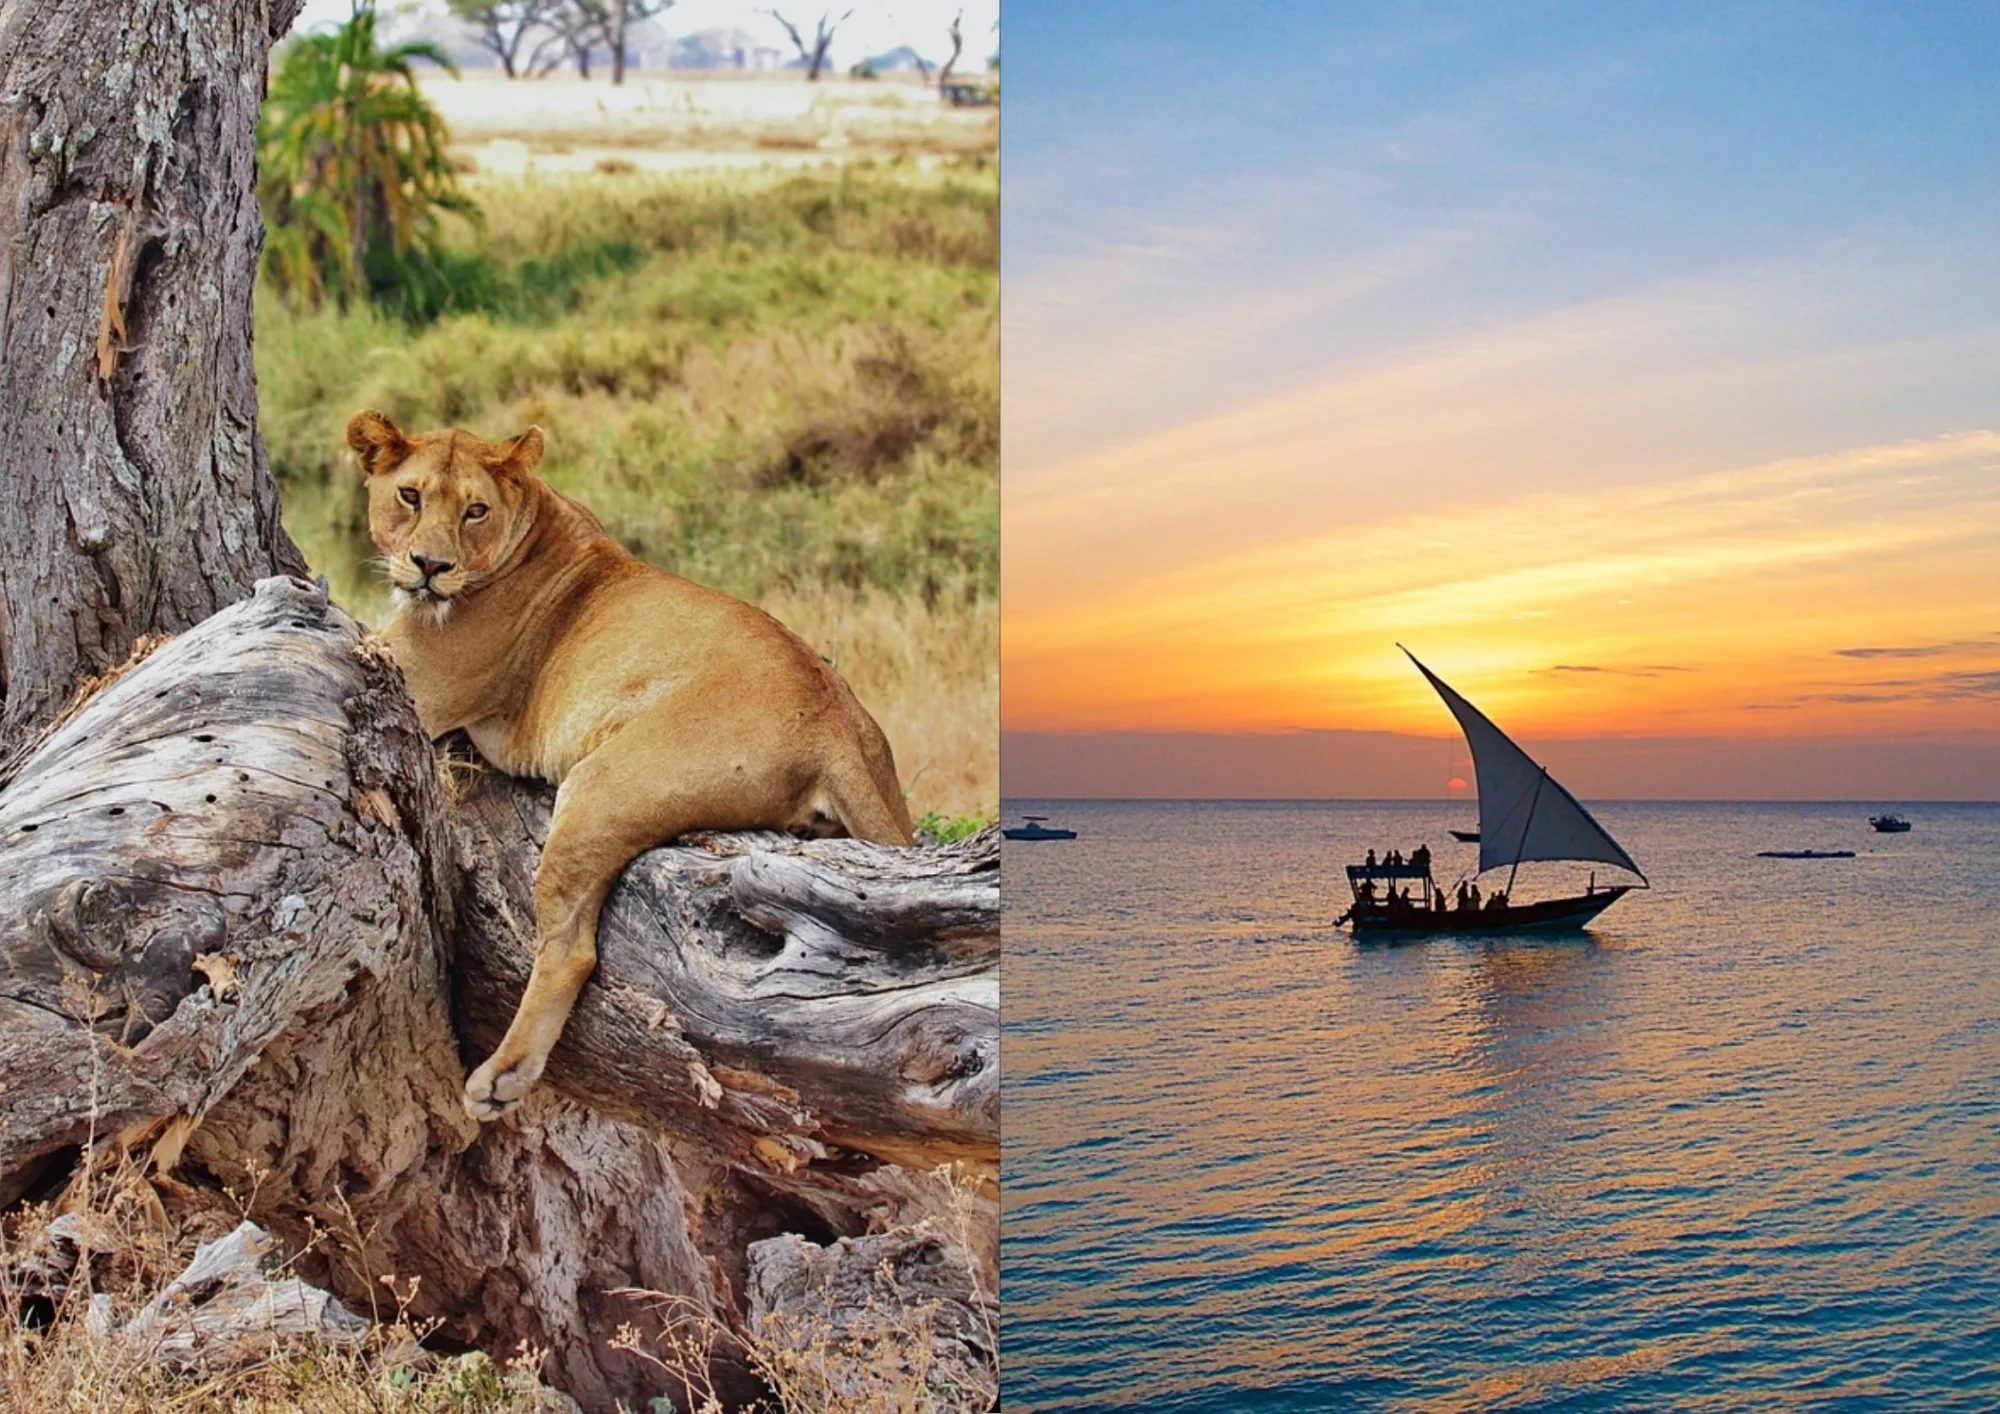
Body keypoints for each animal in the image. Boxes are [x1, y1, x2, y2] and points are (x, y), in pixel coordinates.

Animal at [347, 410, 914, 1120]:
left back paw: (503, 1078)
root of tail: (833, 720)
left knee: (571, 950)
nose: (430, 566)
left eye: (475, 510)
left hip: (599, 785)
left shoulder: (412, 681)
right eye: (410, 496)